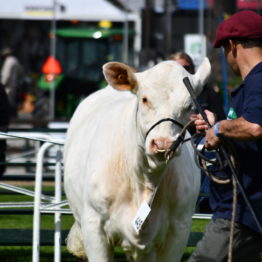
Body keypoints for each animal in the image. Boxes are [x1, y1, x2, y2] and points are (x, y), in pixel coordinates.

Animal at [64, 57, 212, 262]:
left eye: (190, 105)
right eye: (144, 99)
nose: (163, 143)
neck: (144, 179)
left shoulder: (178, 231)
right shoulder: (94, 228)